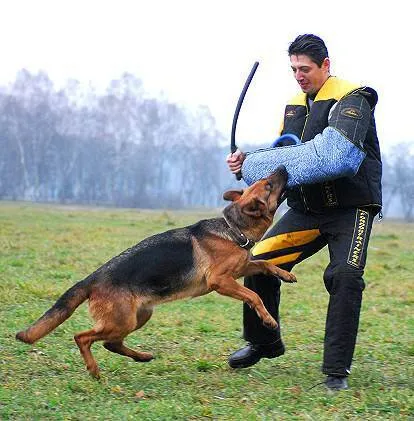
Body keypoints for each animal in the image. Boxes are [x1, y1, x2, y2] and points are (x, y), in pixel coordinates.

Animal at [16, 165, 294, 378]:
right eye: (269, 184)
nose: (283, 166)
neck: (233, 228)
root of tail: (92, 279)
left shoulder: (239, 270)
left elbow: (264, 264)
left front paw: (285, 274)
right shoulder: (221, 281)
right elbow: (254, 296)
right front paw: (268, 319)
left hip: (140, 316)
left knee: (111, 343)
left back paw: (141, 357)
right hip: (123, 320)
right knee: (82, 337)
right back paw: (94, 370)